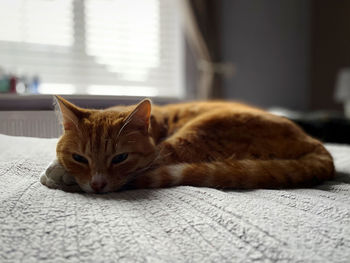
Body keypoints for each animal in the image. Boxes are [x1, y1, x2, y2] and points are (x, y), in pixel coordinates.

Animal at [42, 95, 334, 194]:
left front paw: (59, 173)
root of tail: (315, 142)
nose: (98, 184)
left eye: (120, 158)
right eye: (80, 158)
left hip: (203, 130)